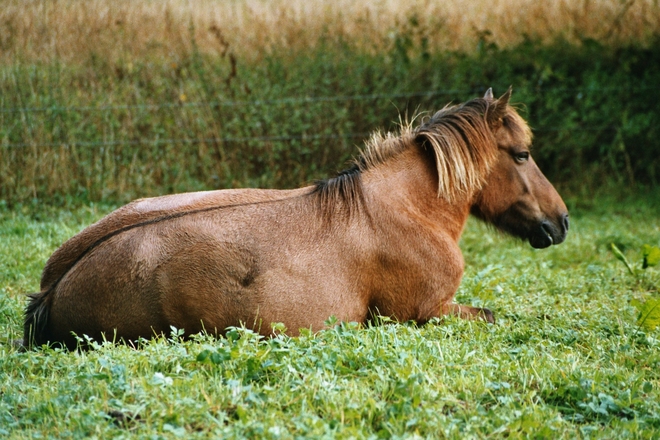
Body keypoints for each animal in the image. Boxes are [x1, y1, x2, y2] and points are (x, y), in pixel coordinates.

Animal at [21, 87, 568, 348]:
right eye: (521, 155)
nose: (561, 222)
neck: (407, 209)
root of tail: (54, 287)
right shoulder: (425, 314)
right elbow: (494, 315)